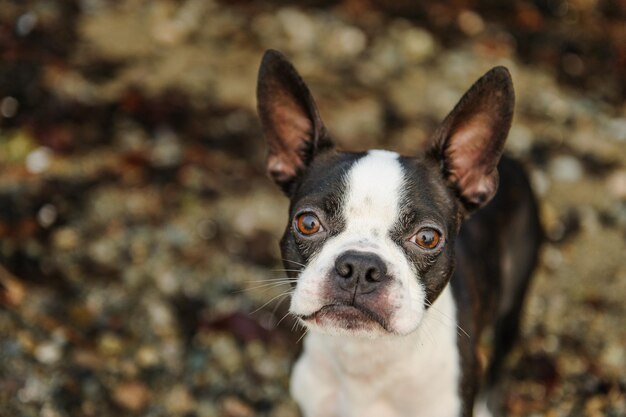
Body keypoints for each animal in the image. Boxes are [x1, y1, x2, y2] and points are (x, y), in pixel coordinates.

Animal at [254, 49, 540, 416]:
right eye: (308, 223)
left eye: (427, 237)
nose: (360, 266)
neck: (366, 360)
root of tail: (512, 161)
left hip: (513, 303)